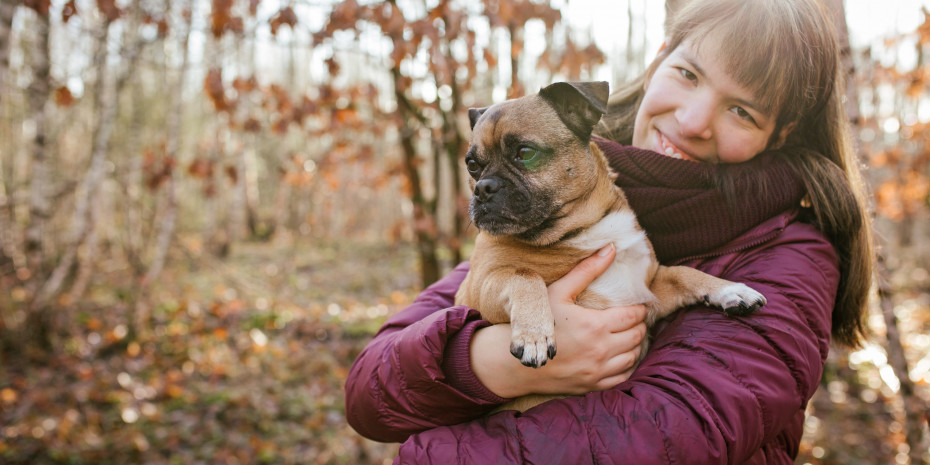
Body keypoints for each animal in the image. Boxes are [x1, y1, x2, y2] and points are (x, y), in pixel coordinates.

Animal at [454, 81, 764, 412]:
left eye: (525, 153)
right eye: (471, 165)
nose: (482, 187)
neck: (580, 230)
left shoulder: (647, 292)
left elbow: (683, 272)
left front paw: (731, 290)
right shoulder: (482, 288)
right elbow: (523, 275)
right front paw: (534, 334)